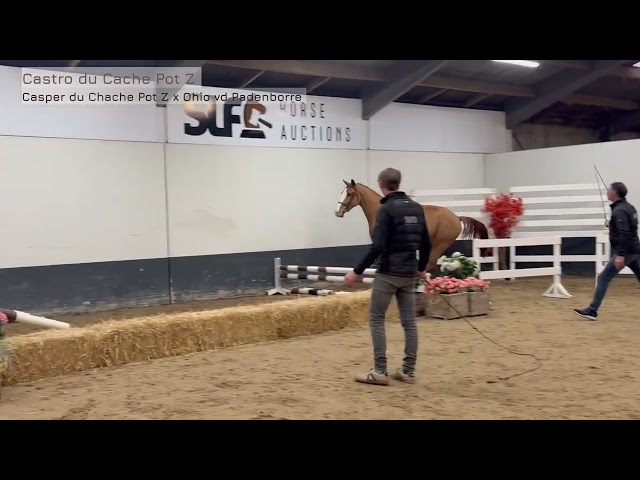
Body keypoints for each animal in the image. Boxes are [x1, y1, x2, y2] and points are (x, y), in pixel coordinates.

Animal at [334, 179, 491, 274]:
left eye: (349, 194)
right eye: (342, 193)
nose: (337, 212)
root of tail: (456, 217)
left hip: (439, 244)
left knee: (430, 266)